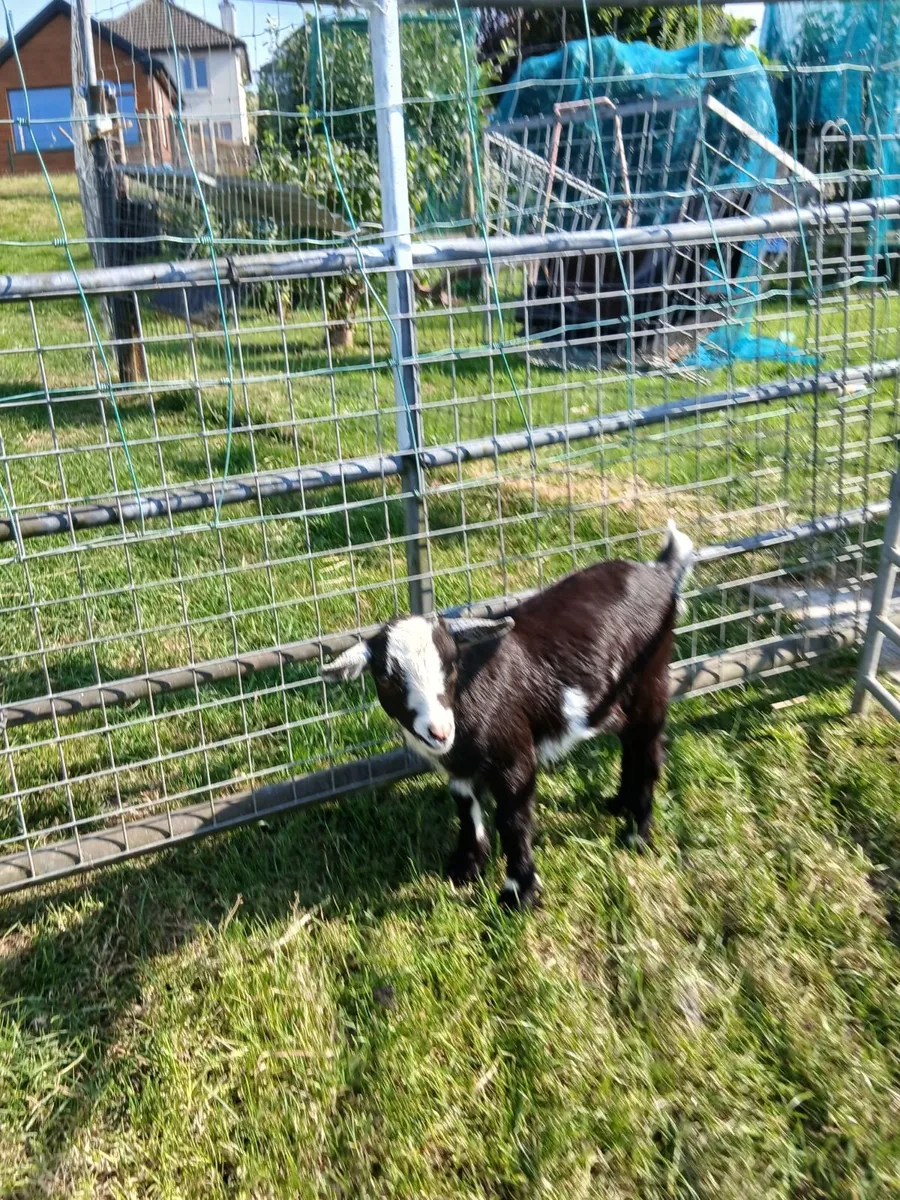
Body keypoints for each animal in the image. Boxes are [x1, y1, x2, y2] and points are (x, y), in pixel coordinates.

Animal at [322, 522, 694, 909]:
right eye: (385, 677)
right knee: (629, 743)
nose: (439, 731)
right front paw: (465, 868)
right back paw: (619, 804)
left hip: (651, 677)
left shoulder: (514, 757)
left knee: (648, 750)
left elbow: (512, 819)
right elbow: (466, 809)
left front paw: (519, 893)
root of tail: (660, 573)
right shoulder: (459, 769)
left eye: (451, 664)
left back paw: (637, 835)